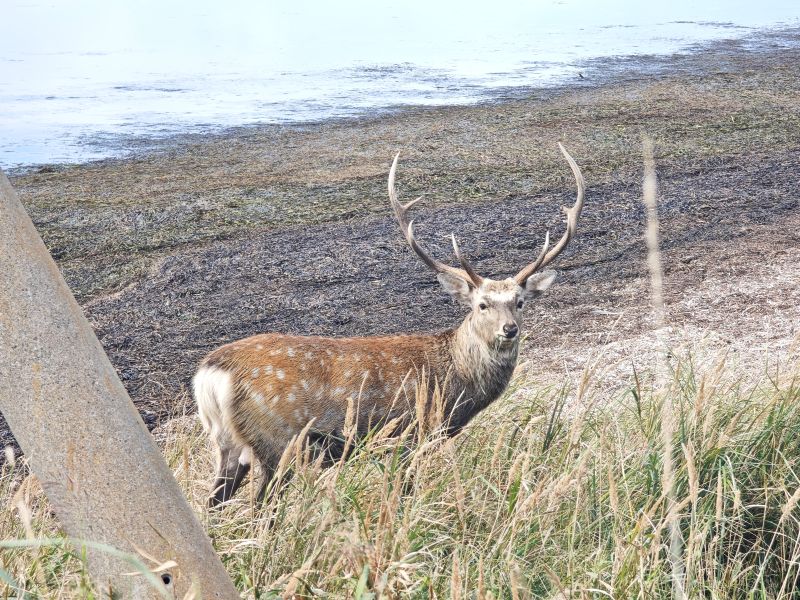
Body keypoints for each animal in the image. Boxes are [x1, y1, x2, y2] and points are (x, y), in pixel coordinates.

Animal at [194, 143, 585, 507]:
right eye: (481, 305)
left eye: (520, 302)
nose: (509, 329)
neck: (456, 380)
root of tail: (210, 373)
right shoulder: (410, 434)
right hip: (276, 440)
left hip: (227, 444)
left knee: (212, 502)